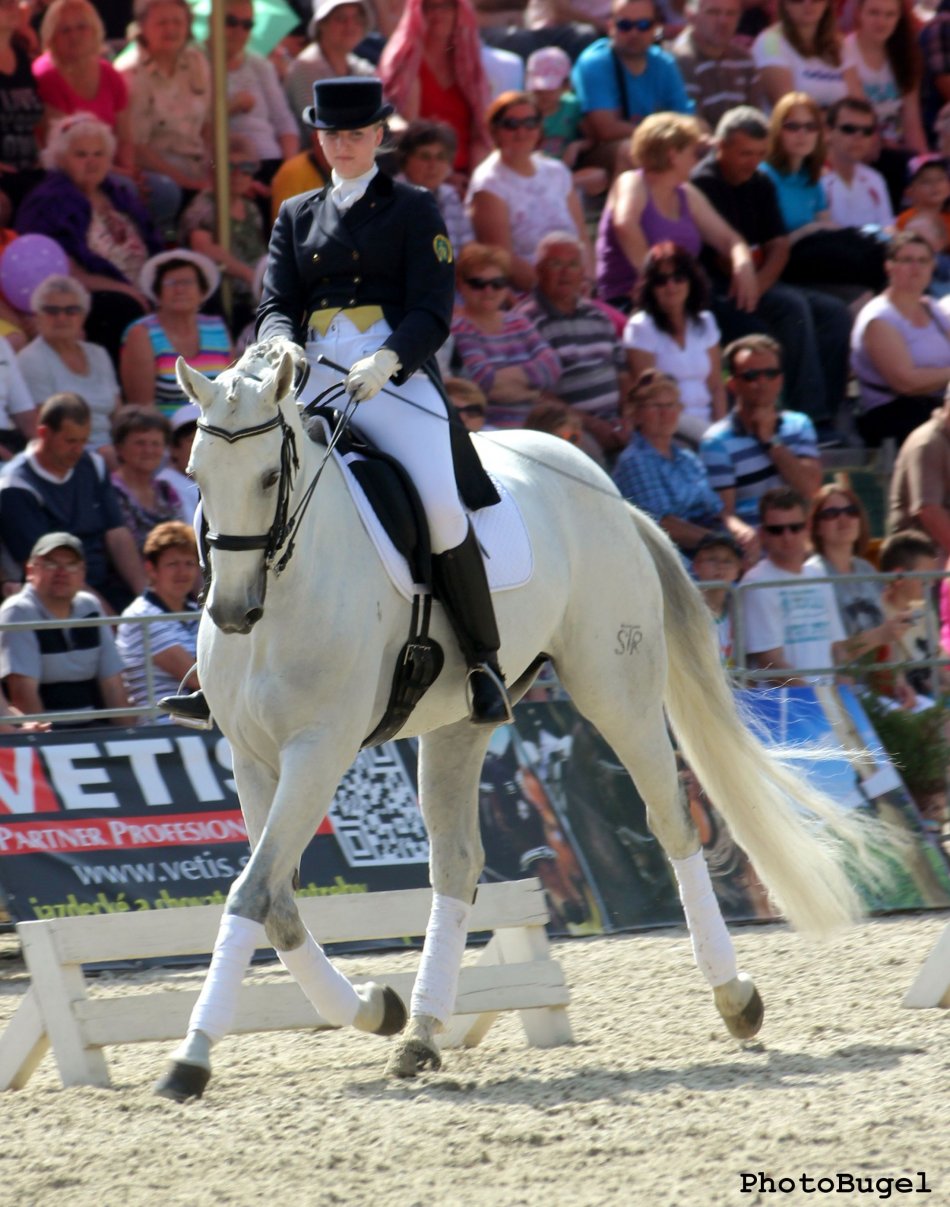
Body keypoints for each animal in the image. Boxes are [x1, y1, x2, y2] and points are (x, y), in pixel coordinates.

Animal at [154, 344, 881, 1101]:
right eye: (195, 476)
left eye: (270, 476)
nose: (231, 611)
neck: (291, 583)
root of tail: (605, 488)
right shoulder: (254, 756)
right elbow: (276, 900)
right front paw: (375, 1007)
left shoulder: (318, 751)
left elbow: (253, 892)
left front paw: (192, 1056)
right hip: (462, 721)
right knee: (457, 862)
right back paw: (419, 1032)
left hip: (616, 689)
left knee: (673, 822)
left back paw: (735, 997)